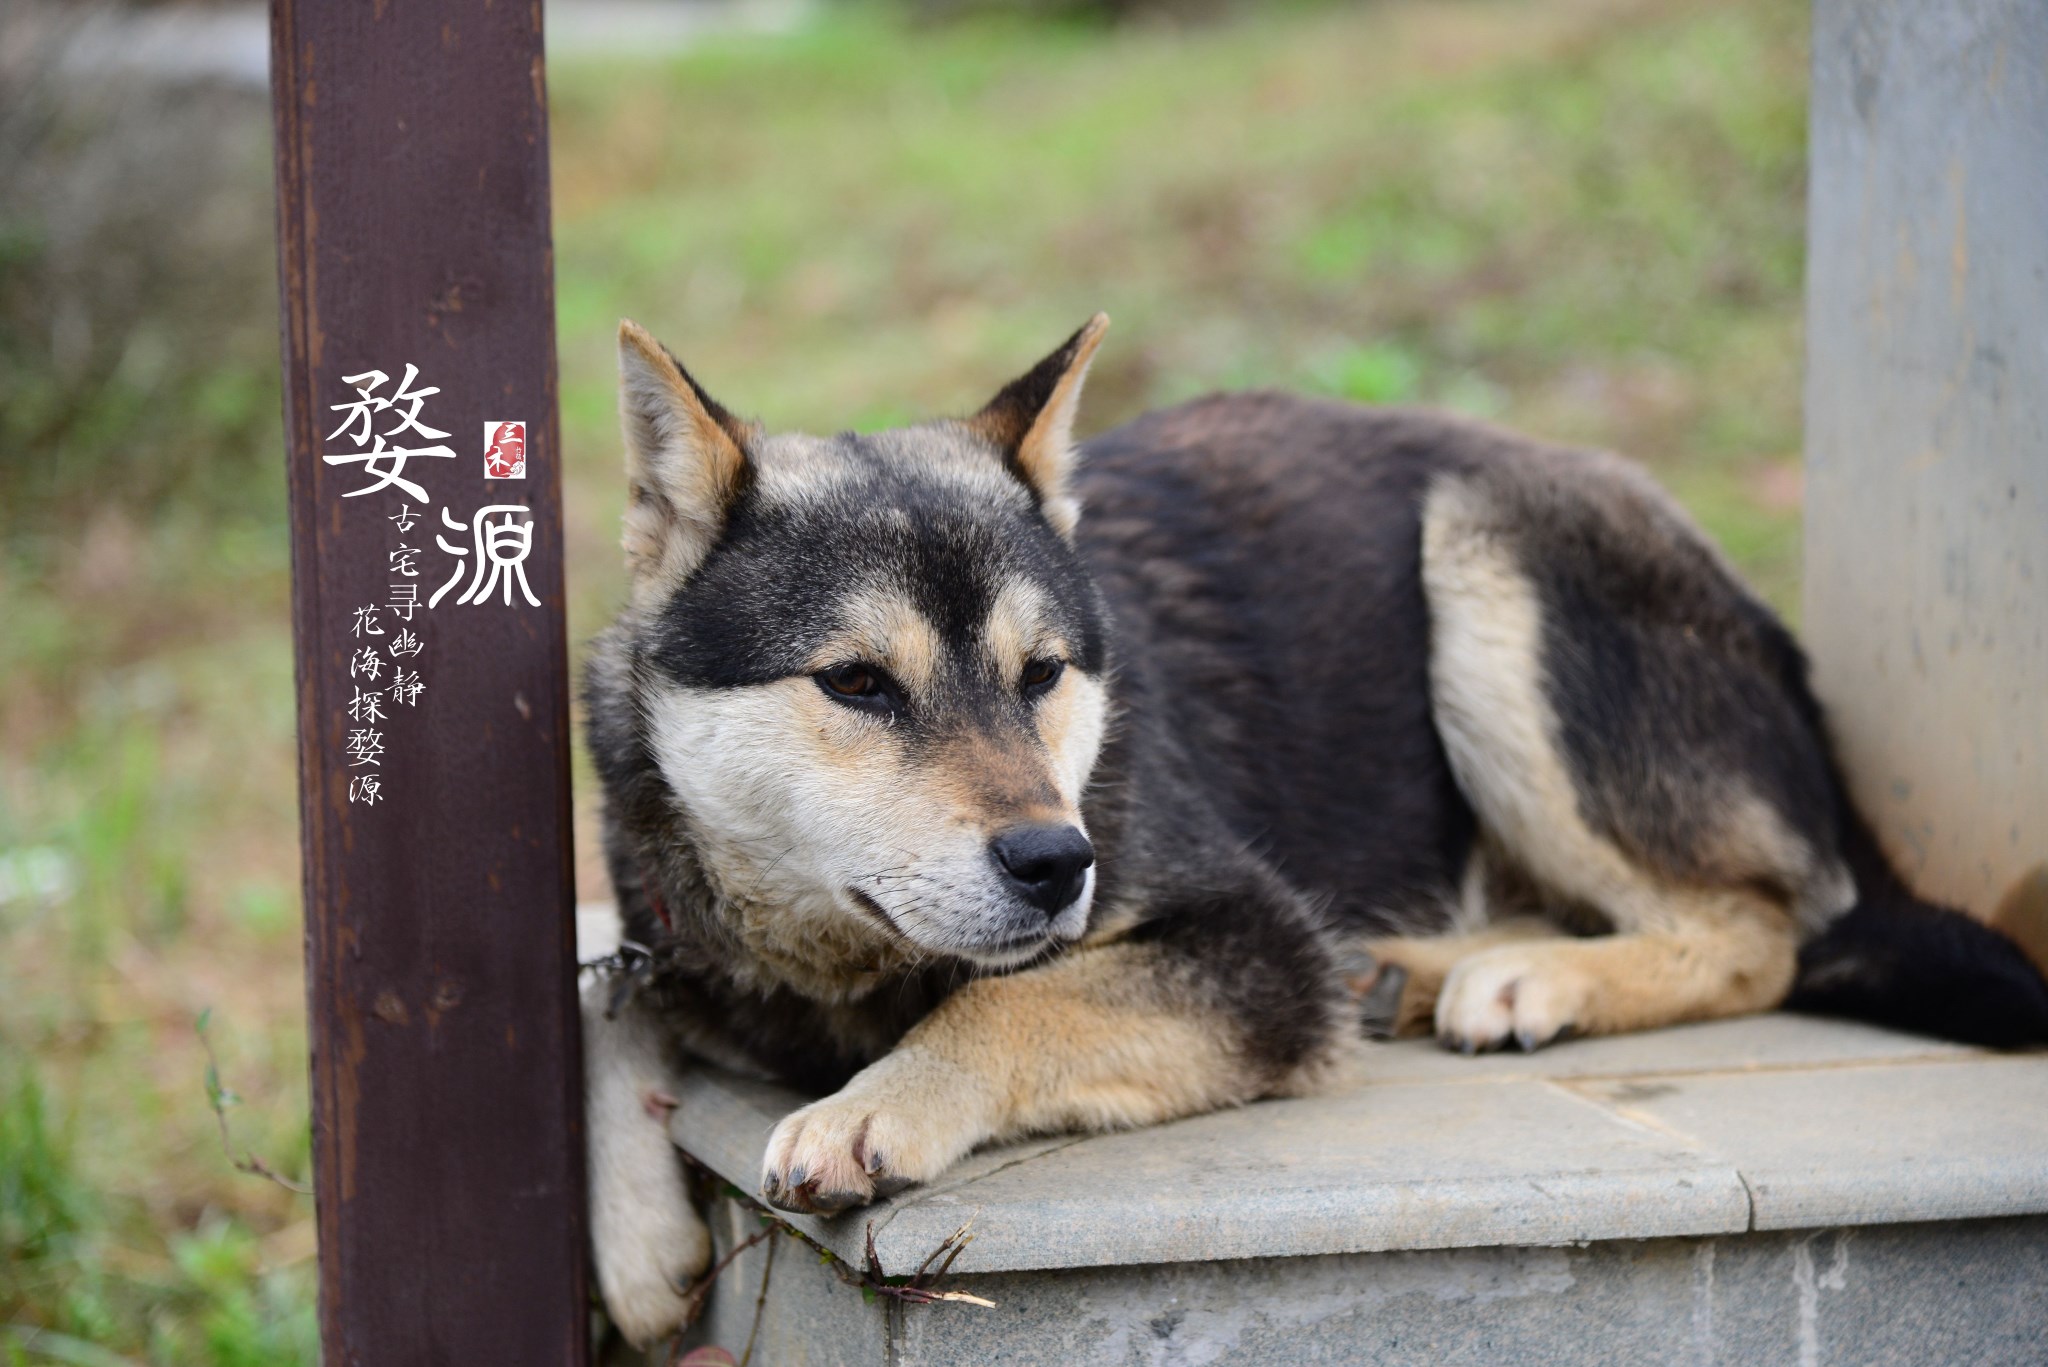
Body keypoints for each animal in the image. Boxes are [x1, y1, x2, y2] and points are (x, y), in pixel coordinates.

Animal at [581, 315, 2048, 1344]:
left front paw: (878, 1103)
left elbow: (1009, 1002)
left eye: (1041, 674)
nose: (1059, 863)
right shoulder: (656, 923)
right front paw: (638, 1242)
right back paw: (1428, 963)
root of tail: (1762, 618)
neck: (831, 967)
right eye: (857, 685)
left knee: (1762, 926)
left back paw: (1533, 975)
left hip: (1487, 561)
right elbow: (602, 999)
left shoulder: (1258, 948)